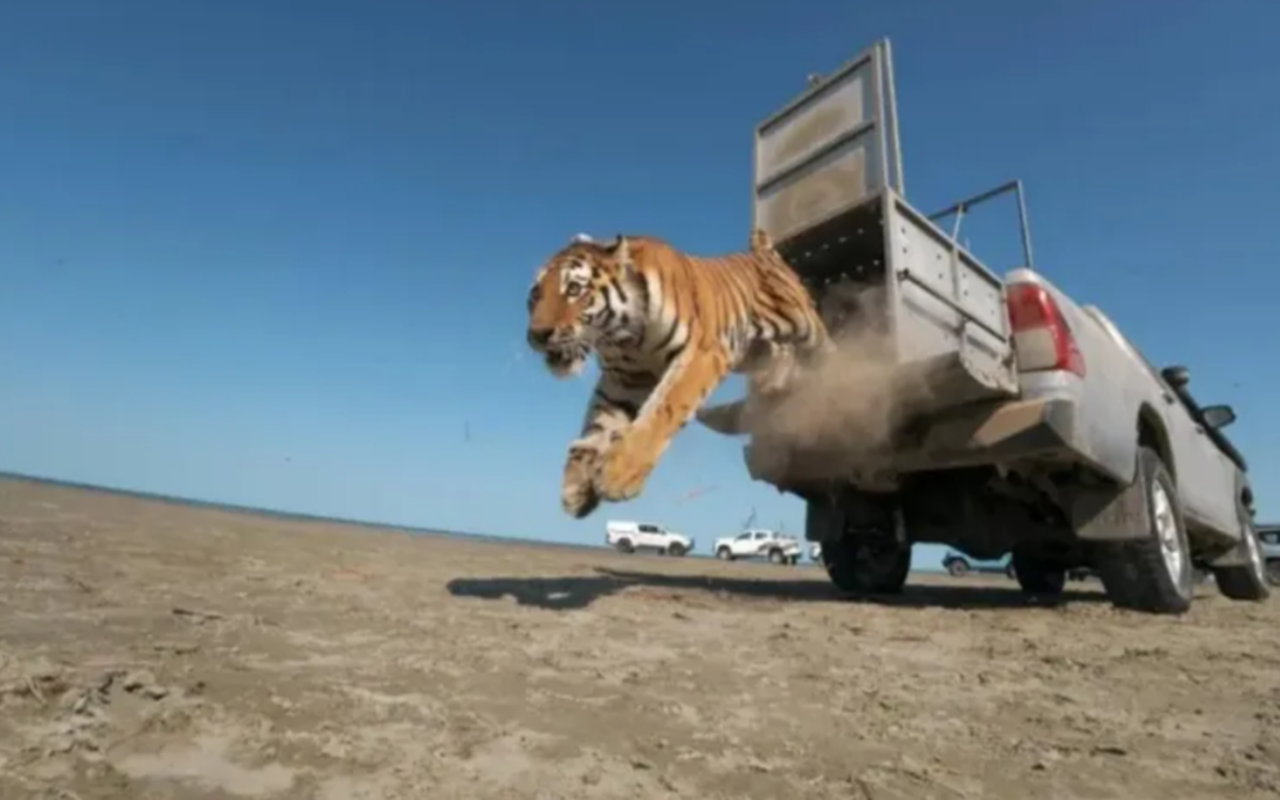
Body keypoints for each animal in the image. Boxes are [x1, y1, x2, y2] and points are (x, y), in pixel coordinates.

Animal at [525, 228, 831, 519]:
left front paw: (618, 475)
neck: (623, 336)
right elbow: (598, 422)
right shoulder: (624, 378)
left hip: (803, 323)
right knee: (782, 358)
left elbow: (665, 408)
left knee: (826, 347)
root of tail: (763, 250)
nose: (537, 335)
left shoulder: (700, 355)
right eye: (535, 295)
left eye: (574, 289)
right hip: (751, 351)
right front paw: (576, 486)